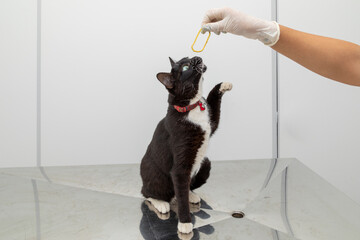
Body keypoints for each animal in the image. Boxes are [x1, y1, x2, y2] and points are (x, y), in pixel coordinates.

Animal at [139, 55, 232, 233]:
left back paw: (192, 195)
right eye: (185, 67)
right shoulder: (180, 166)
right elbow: (181, 197)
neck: (192, 106)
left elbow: (214, 106)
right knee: (149, 193)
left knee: (182, 189)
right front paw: (184, 223)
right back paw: (161, 203)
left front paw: (223, 85)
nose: (196, 57)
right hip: (156, 177)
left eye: (186, 58)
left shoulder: (211, 123)